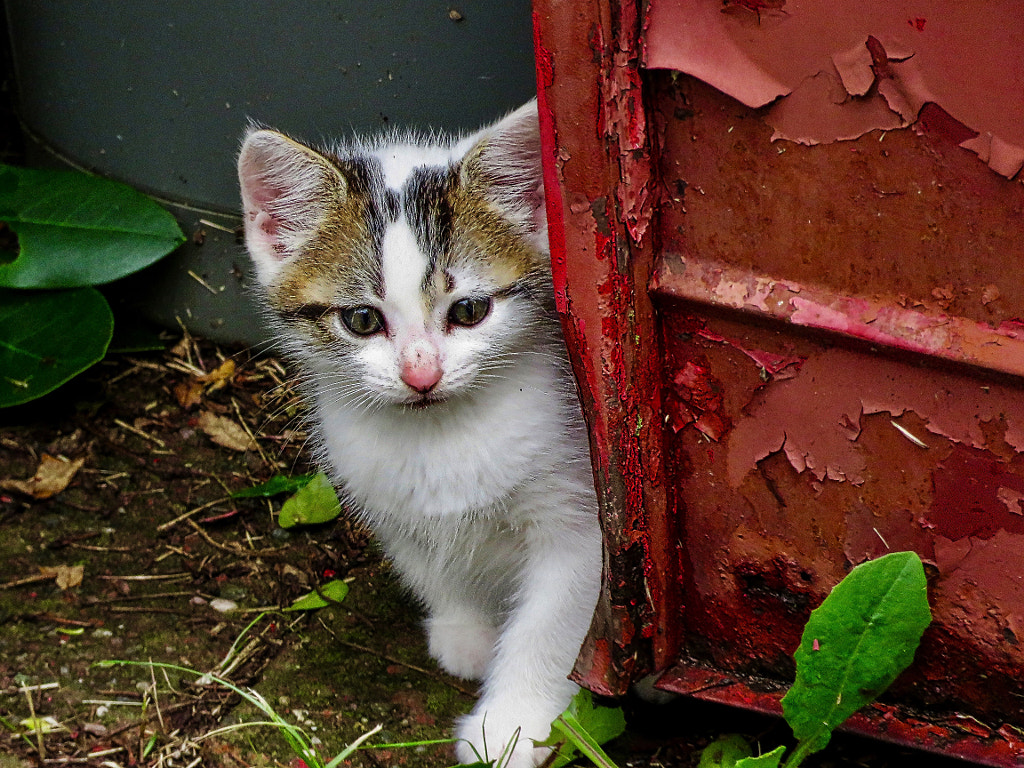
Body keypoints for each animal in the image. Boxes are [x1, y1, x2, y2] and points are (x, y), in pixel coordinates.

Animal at [237, 103, 606, 768]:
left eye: (468, 311)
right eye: (361, 319)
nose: (421, 375)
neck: (439, 437)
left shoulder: (584, 528)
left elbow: (553, 626)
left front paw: (510, 727)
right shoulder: (380, 493)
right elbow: (426, 562)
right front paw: (464, 630)